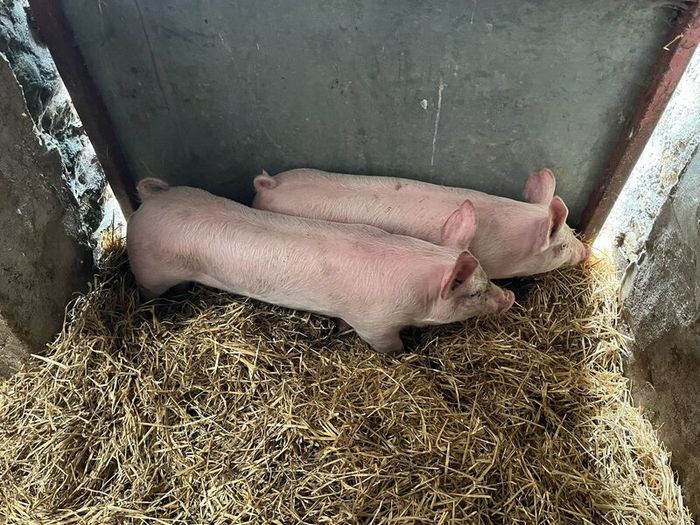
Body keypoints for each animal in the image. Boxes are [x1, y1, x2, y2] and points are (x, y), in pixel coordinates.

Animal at [127, 178, 514, 354]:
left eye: (486, 278)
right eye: (475, 292)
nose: (510, 298)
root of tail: (149, 201)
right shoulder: (374, 323)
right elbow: (386, 345)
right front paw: (405, 355)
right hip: (150, 271)